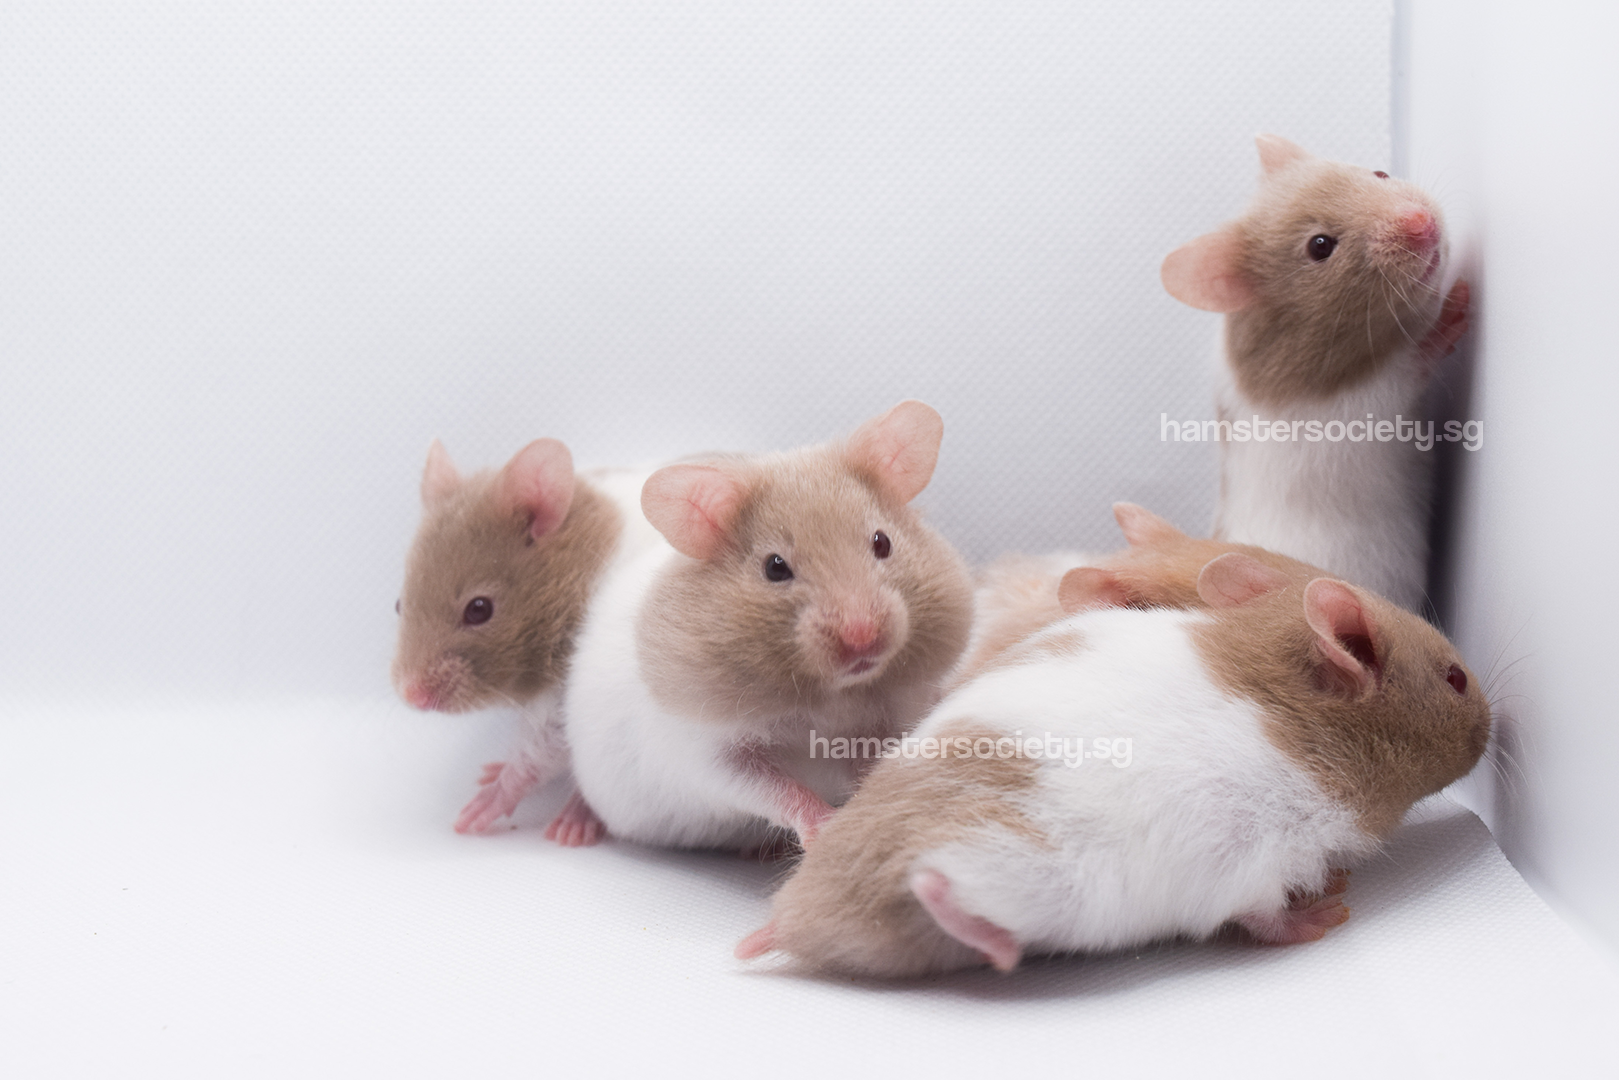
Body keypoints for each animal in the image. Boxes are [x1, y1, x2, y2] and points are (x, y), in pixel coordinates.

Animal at [391, 438, 660, 835]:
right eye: (399, 604)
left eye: (479, 609)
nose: (411, 696)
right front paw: (492, 773)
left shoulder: (566, 708)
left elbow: (536, 757)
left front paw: (476, 813)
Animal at [557, 400, 976, 851]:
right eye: (775, 568)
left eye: (883, 543)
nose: (863, 639)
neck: (833, 699)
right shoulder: (709, 757)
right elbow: (776, 790)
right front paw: (824, 828)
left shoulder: (885, 720)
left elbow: (866, 766)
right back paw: (569, 830)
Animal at [737, 551, 1491, 978]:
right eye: (1456, 680)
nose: (1495, 729)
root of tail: (800, 916)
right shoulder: (1253, 861)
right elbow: (1264, 918)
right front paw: (1326, 914)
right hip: (1024, 869)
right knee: (938, 886)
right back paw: (994, 944)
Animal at [1161, 134, 1471, 611]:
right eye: (1320, 245)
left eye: (1380, 173)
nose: (1422, 222)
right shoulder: (1359, 404)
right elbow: (1409, 364)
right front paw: (1458, 303)